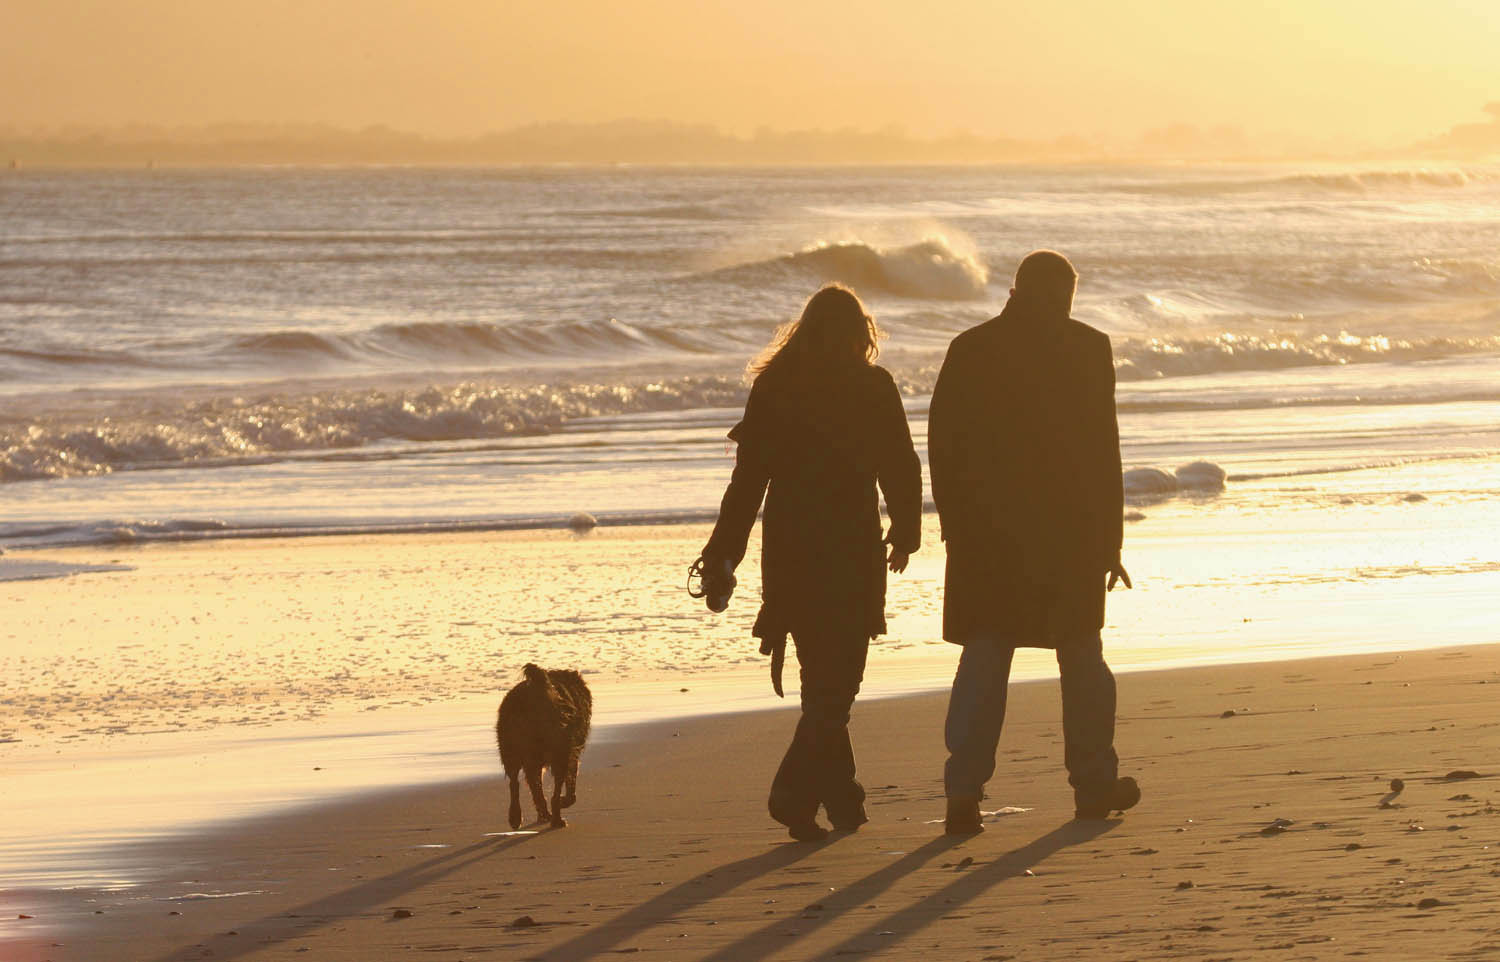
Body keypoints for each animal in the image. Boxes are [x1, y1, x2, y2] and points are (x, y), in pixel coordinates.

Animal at [498, 663, 591, 828]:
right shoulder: (572, 752)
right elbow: (571, 784)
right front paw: (564, 801)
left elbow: (536, 788)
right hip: (560, 751)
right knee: (554, 789)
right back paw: (557, 819)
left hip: (511, 750)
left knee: (514, 783)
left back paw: (516, 817)